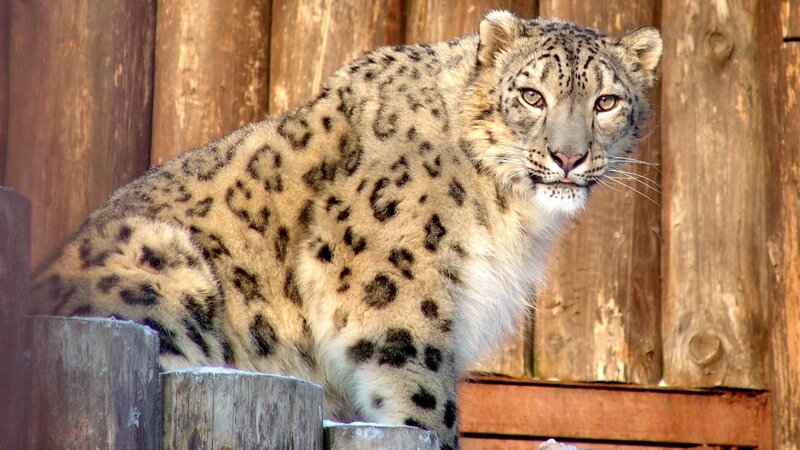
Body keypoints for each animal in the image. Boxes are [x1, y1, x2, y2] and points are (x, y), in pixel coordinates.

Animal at [31, 11, 662, 449]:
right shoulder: (401, 297)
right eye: (532, 94)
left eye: (607, 101)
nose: (568, 157)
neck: (514, 220)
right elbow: (423, 400)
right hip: (162, 259)